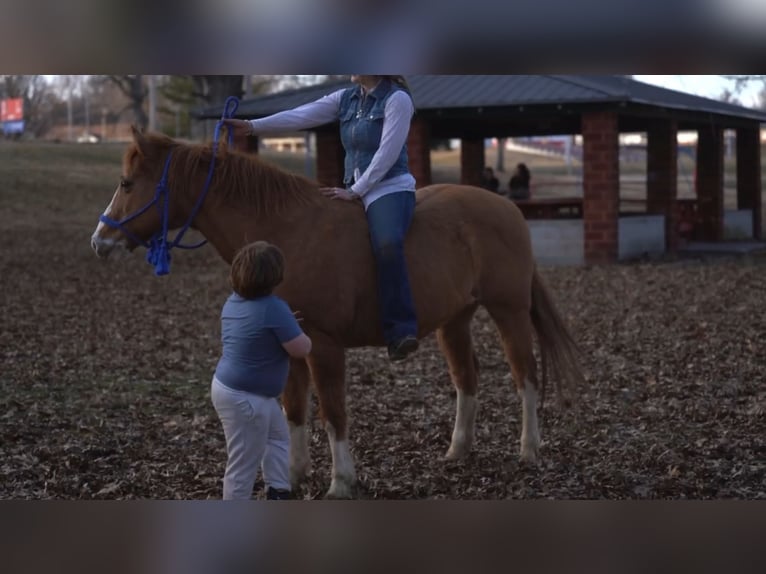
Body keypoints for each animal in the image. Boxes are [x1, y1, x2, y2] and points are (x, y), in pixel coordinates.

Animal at [90, 127, 585, 499]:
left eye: (127, 183)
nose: (100, 241)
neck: (288, 231)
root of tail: (508, 208)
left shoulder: (324, 346)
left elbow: (332, 411)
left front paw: (340, 482)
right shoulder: (288, 345)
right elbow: (293, 410)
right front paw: (292, 475)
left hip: (509, 312)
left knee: (525, 376)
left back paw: (529, 449)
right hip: (454, 321)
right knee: (467, 379)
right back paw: (458, 449)